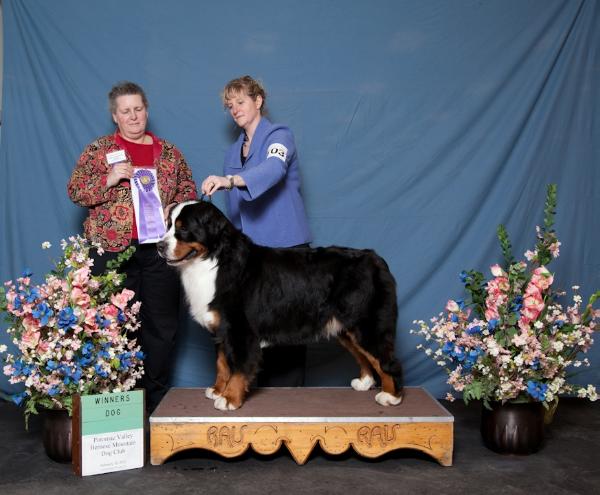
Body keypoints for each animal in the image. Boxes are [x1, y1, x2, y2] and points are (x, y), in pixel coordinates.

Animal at [159, 200, 404, 412]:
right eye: (168, 225)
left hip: (367, 325)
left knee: (387, 360)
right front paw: (218, 390)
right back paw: (365, 382)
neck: (214, 261)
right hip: (346, 327)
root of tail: (375, 258)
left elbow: (238, 366)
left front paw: (229, 398)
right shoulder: (222, 329)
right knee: (365, 356)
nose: (160, 246)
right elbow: (222, 363)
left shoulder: (240, 330)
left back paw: (391, 396)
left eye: (183, 229)